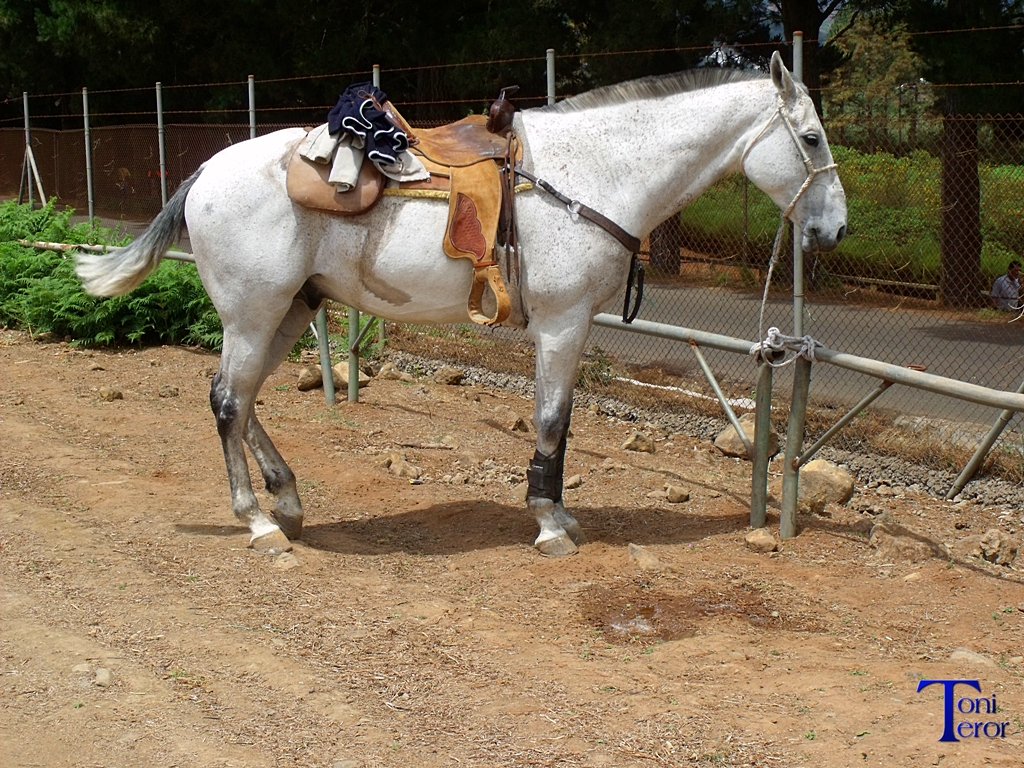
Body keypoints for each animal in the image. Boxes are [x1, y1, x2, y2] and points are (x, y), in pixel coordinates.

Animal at [77, 55, 847, 561]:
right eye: (810, 138)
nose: (836, 229)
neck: (595, 172)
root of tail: (207, 170)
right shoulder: (563, 324)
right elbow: (551, 421)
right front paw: (548, 523)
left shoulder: (572, 329)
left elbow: (561, 423)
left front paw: (559, 514)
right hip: (253, 312)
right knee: (228, 402)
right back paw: (258, 523)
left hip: (288, 310)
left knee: (245, 400)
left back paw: (287, 502)